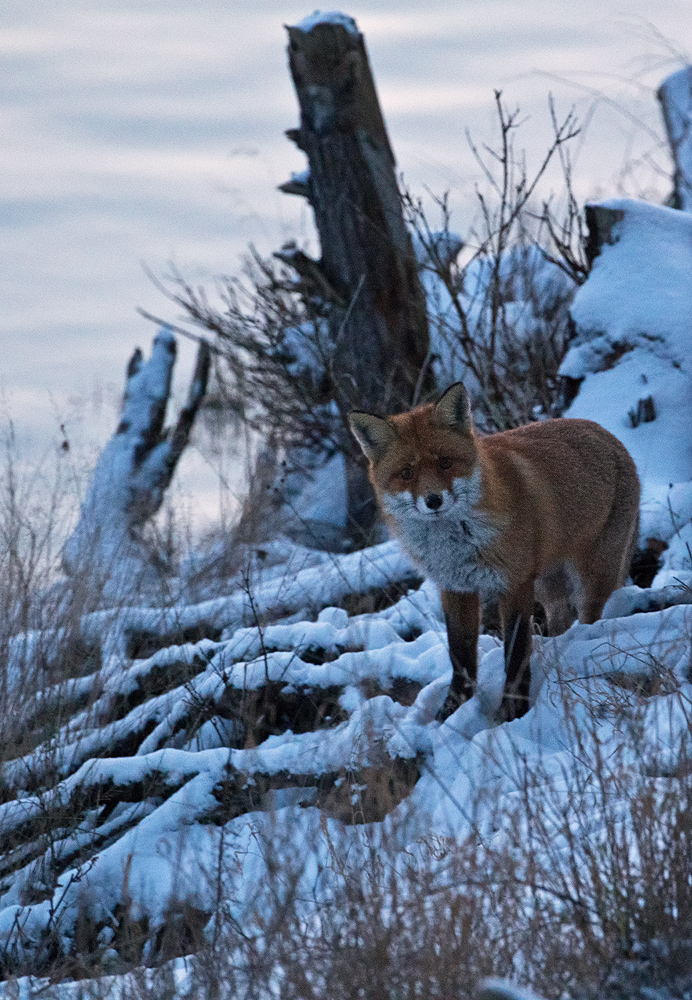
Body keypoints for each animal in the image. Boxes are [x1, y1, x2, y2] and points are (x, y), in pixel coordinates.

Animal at [349, 383, 640, 722]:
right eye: (407, 473)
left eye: (445, 462)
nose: (433, 500)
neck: (455, 546)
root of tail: (604, 431)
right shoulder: (455, 587)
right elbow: (460, 655)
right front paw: (451, 712)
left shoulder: (513, 582)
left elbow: (515, 653)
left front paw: (513, 711)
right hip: (546, 582)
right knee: (560, 617)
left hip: (590, 574)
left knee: (589, 617)